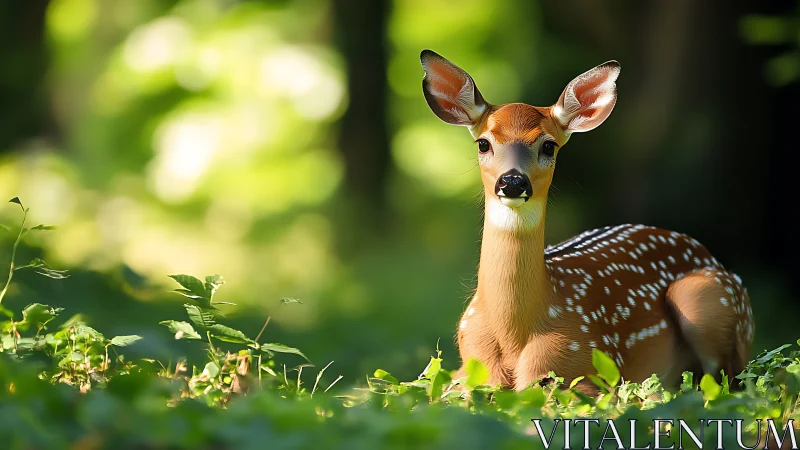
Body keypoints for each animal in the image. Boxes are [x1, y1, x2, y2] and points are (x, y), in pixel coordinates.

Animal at [419, 49, 754, 394]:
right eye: (483, 143)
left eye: (548, 145)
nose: (512, 182)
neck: (514, 333)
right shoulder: (465, 369)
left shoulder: (583, 364)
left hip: (709, 299)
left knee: (723, 380)